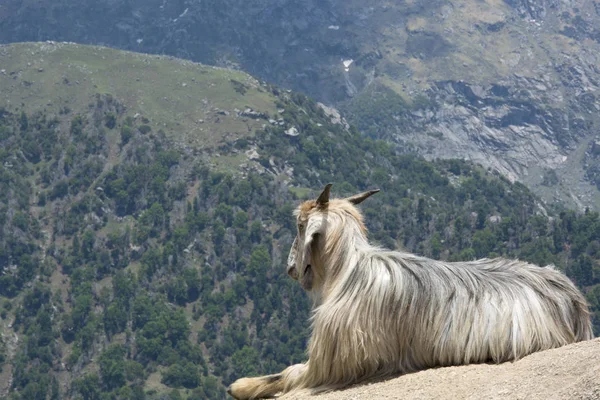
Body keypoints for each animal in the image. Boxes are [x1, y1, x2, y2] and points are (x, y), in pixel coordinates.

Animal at [227, 184, 592, 400]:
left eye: (301, 226)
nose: (290, 269)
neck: (348, 271)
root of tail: (573, 300)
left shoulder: (330, 364)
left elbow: (286, 374)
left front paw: (241, 385)